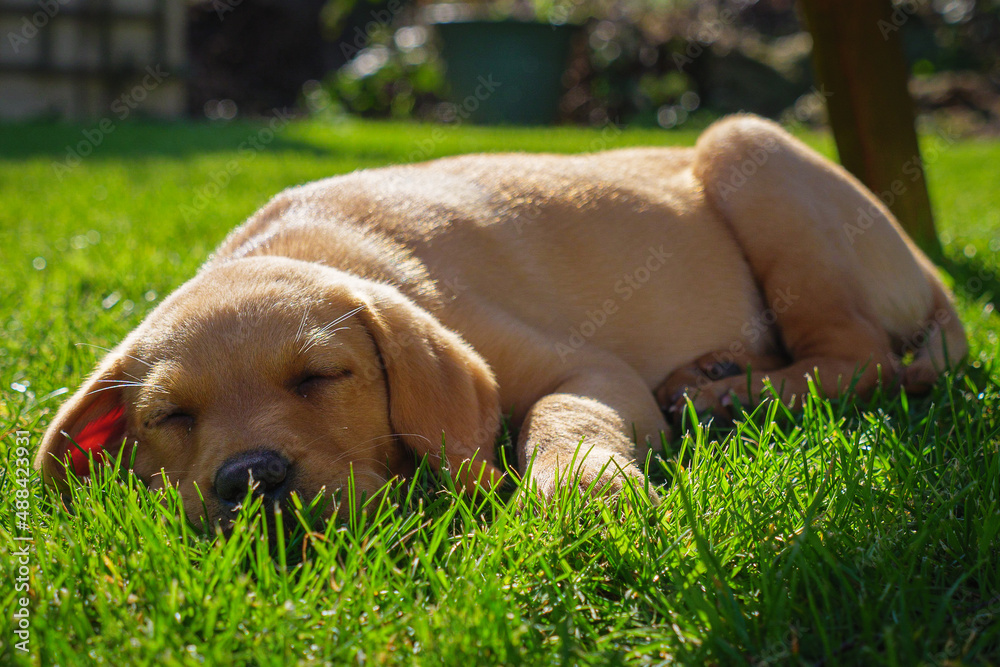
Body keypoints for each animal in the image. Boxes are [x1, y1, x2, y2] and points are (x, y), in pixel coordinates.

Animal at [35, 115, 964, 528]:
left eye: (321, 376)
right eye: (169, 418)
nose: (248, 478)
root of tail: (933, 273)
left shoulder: (584, 367)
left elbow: (562, 411)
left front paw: (584, 481)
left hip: (749, 152)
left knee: (865, 356)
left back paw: (721, 395)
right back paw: (718, 378)